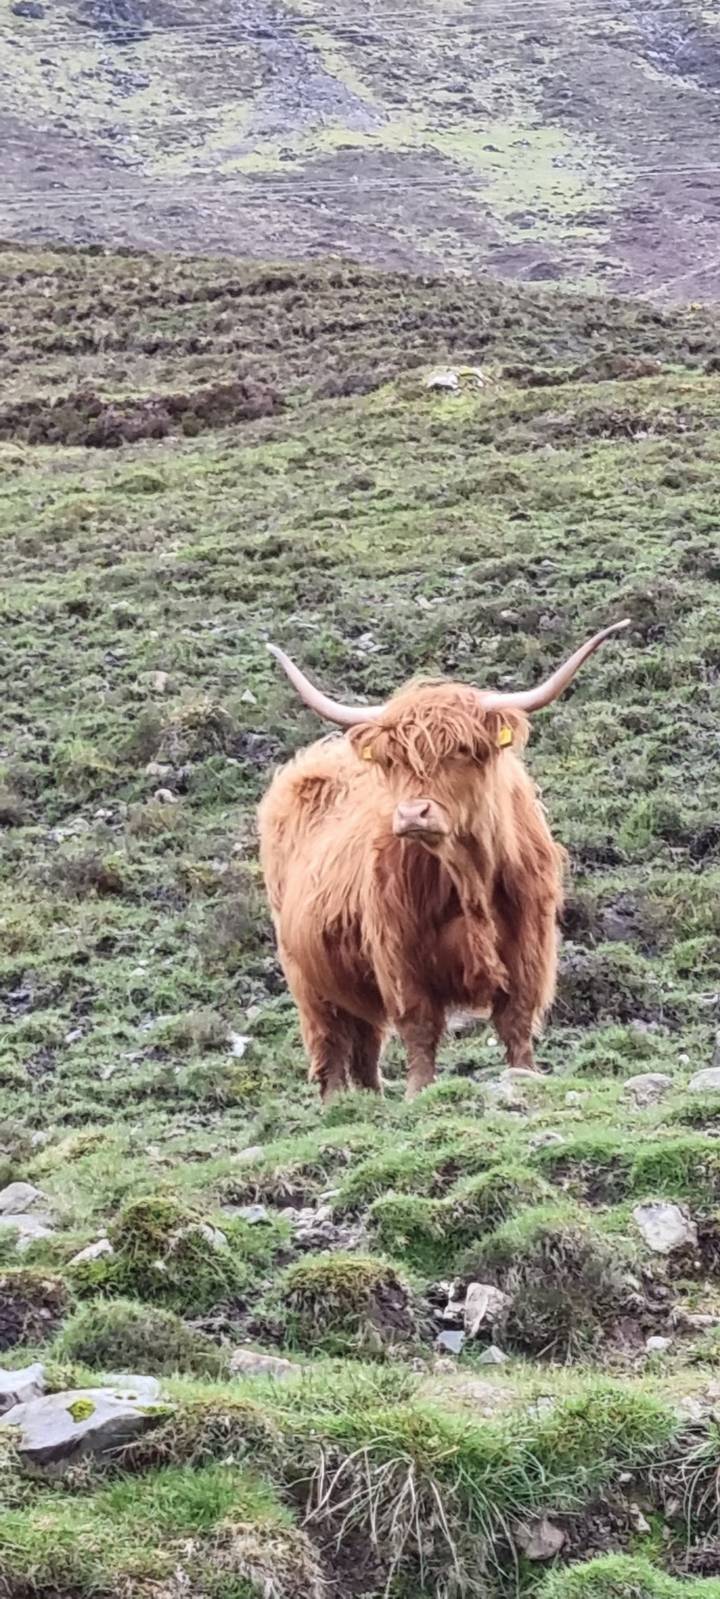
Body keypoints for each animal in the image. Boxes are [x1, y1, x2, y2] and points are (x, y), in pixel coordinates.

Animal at [258, 620, 629, 1100]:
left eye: (461, 751)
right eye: (394, 760)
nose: (412, 814)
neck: (469, 876)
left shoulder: (530, 944)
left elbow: (516, 1019)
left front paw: (524, 1075)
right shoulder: (399, 951)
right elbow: (418, 1024)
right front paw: (419, 1091)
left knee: (365, 1046)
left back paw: (373, 1099)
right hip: (307, 974)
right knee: (330, 1044)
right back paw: (339, 1102)